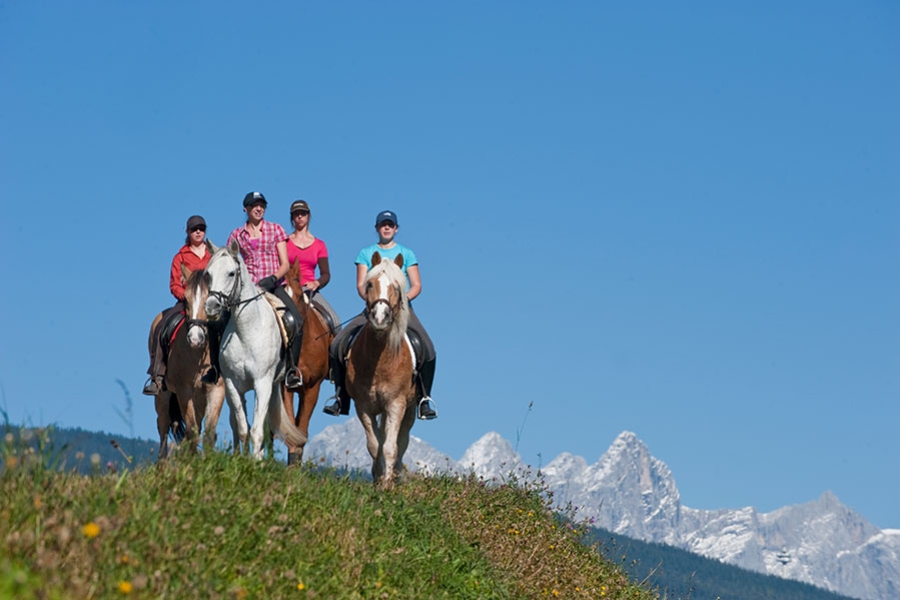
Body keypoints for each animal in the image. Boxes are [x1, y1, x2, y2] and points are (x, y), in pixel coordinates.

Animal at [149, 268, 227, 460]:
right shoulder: (184, 391)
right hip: (163, 393)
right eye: (185, 299)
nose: (195, 338)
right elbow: (192, 433)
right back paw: (162, 464)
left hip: (200, 398)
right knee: (163, 425)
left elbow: (208, 433)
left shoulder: (217, 389)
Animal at [203, 239, 308, 460]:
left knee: (266, 428)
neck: (247, 330)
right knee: (237, 424)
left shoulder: (263, 383)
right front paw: (242, 462)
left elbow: (257, 431)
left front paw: (256, 463)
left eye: (231, 273)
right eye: (208, 274)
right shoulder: (232, 384)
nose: (211, 307)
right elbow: (243, 429)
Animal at [284, 260, 336, 466]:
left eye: (299, 295)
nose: (288, 322)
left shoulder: (313, 388)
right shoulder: (286, 387)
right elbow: (291, 427)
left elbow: (302, 429)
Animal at [346, 251, 420, 490]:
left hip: (409, 409)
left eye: (397, 287)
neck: (380, 363)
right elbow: (374, 445)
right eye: (370, 284)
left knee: (401, 441)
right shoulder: (363, 405)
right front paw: (379, 480)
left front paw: (387, 485)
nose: (380, 317)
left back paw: (396, 475)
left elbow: (390, 446)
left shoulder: (396, 404)